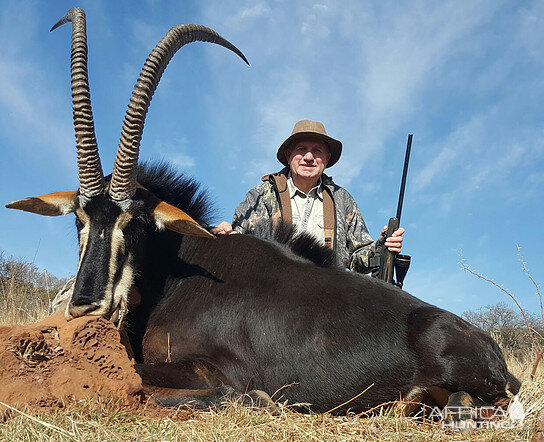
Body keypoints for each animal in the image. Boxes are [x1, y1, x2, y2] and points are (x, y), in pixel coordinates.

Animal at [7, 7, 520, 414]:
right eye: (79, 220)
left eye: (136, 225)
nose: (85, 308)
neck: (176, 276)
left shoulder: (214, 371)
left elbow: (149, 382)